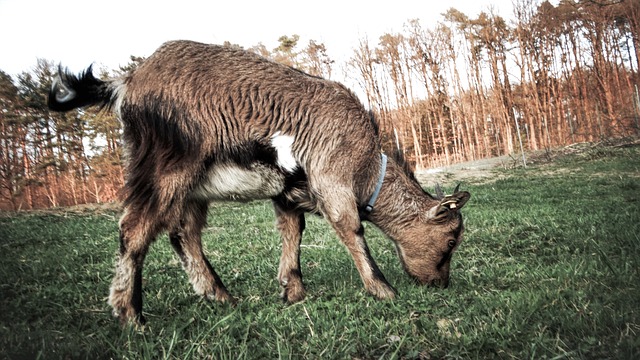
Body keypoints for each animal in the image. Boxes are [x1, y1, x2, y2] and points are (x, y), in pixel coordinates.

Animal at [47, 40, 470, 324]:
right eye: (451, 239)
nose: (440, 284)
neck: (367, 164)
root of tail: (126, 81)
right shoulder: (332, 178)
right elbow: (350, 228)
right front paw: (383, 290)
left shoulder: (287, 191)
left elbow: (292, 230)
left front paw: (293, 291)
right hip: (166, 167)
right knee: (135, 229)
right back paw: (131, 315)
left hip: (190, 186)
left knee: (183, 234)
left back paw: (221, 297)